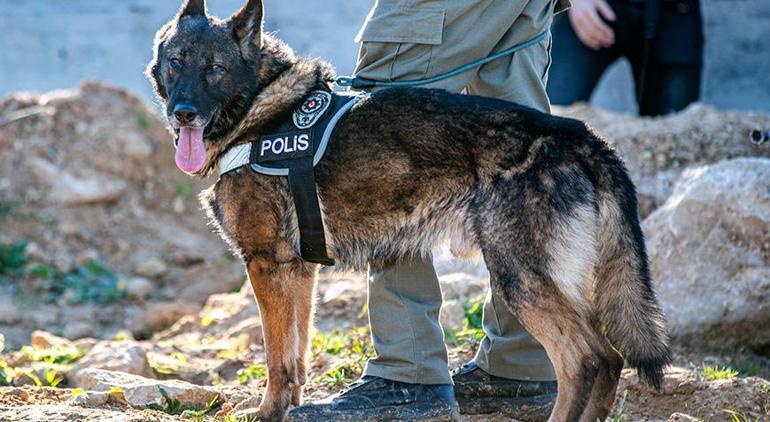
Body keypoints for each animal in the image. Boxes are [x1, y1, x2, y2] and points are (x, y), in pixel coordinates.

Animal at [148, 1, 664, 420]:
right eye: (177, 63)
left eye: (215, 68)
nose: (183, 113)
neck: (261, 107)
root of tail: (581, 138)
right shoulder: (297, 272)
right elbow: (297, 354)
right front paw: (291, 407)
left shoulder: (266, 265)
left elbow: (276, 359)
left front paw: (269, 414)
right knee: (609, 359)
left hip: (520, 278)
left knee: (586, 360)